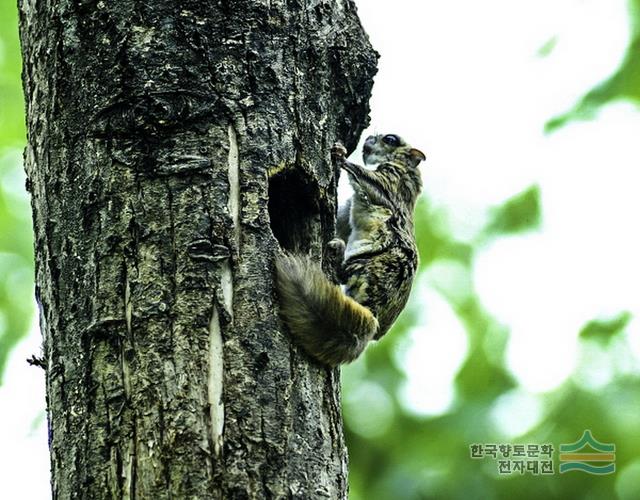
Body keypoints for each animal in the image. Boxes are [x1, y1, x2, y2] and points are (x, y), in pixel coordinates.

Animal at [274, 135, 424, 366]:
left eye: (390, 139)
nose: (369, 138)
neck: (405, 168)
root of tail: (374, 318)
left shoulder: (390, 181)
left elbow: (367, 178)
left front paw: (340, 154)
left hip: (367, 262)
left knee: (341, 274)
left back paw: (336, 250)